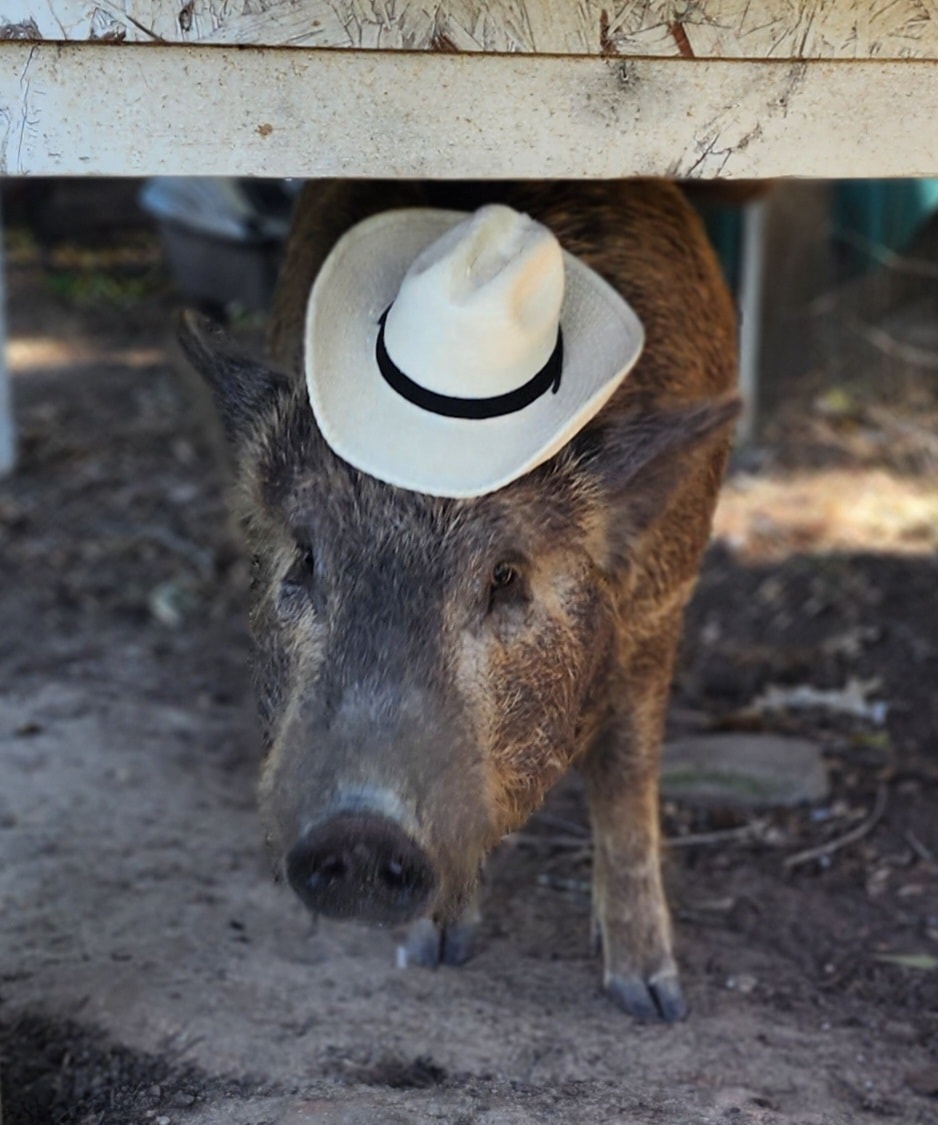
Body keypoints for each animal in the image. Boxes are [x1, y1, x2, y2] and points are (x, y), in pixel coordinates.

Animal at [178, 179, 738, 1022]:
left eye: (506, 576)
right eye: (306, 556)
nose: (361, 828)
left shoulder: (663, 610)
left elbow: (625, 777)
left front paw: (652, 1002)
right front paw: (430, 952)